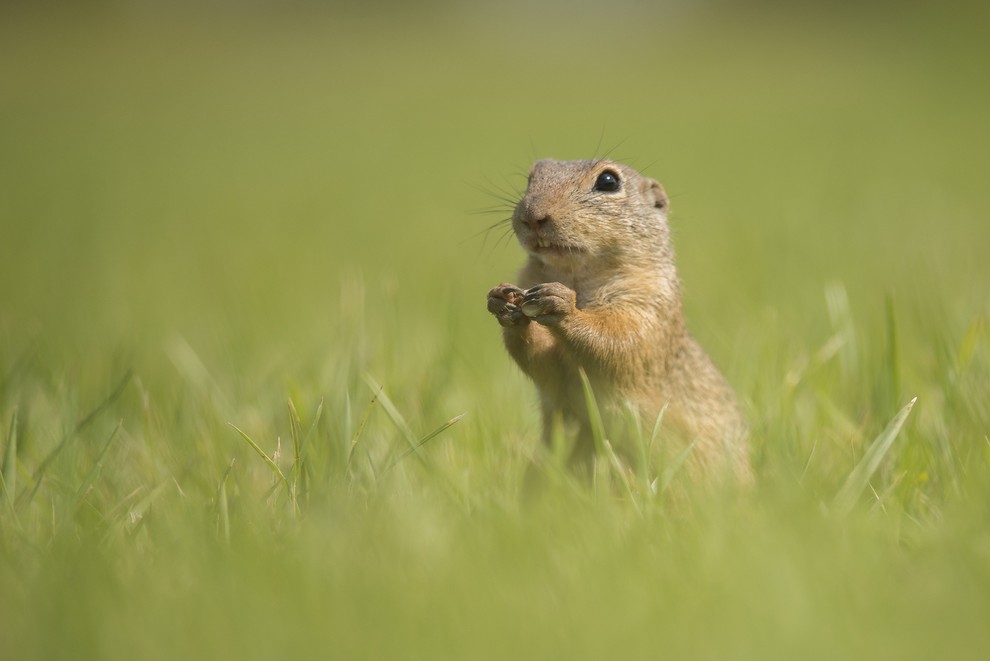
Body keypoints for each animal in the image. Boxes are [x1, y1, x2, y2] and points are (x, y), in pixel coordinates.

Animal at [488, 158, 752, 482]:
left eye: (609, 181)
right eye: (531, 177)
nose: (532, 215)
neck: (575, 276)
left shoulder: (648, 302)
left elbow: (620, 340)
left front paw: (563, 304)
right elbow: (542, 361)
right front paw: (502, 300)